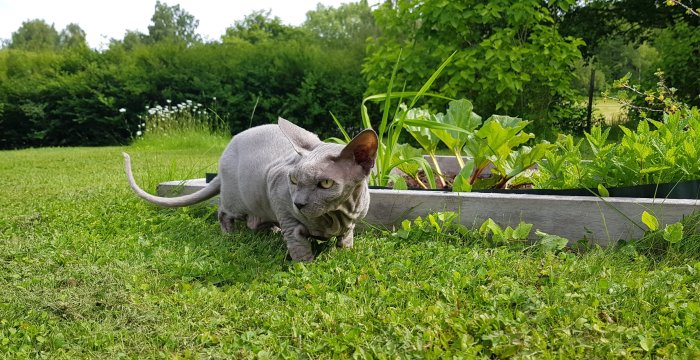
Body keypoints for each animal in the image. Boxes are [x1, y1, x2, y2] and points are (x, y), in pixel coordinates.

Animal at [123, 118, 380, 262]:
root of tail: (224, 156)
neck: (336, 214)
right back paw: (230, 235)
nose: (298, 203)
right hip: (236, 199)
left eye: (326, 184)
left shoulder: (352, 221)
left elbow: (346, 238)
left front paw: (344, 254)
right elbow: (298, 245)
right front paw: (307, 267)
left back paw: (271, 231)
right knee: (223, 213)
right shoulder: (282, 202)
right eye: (293, 180)